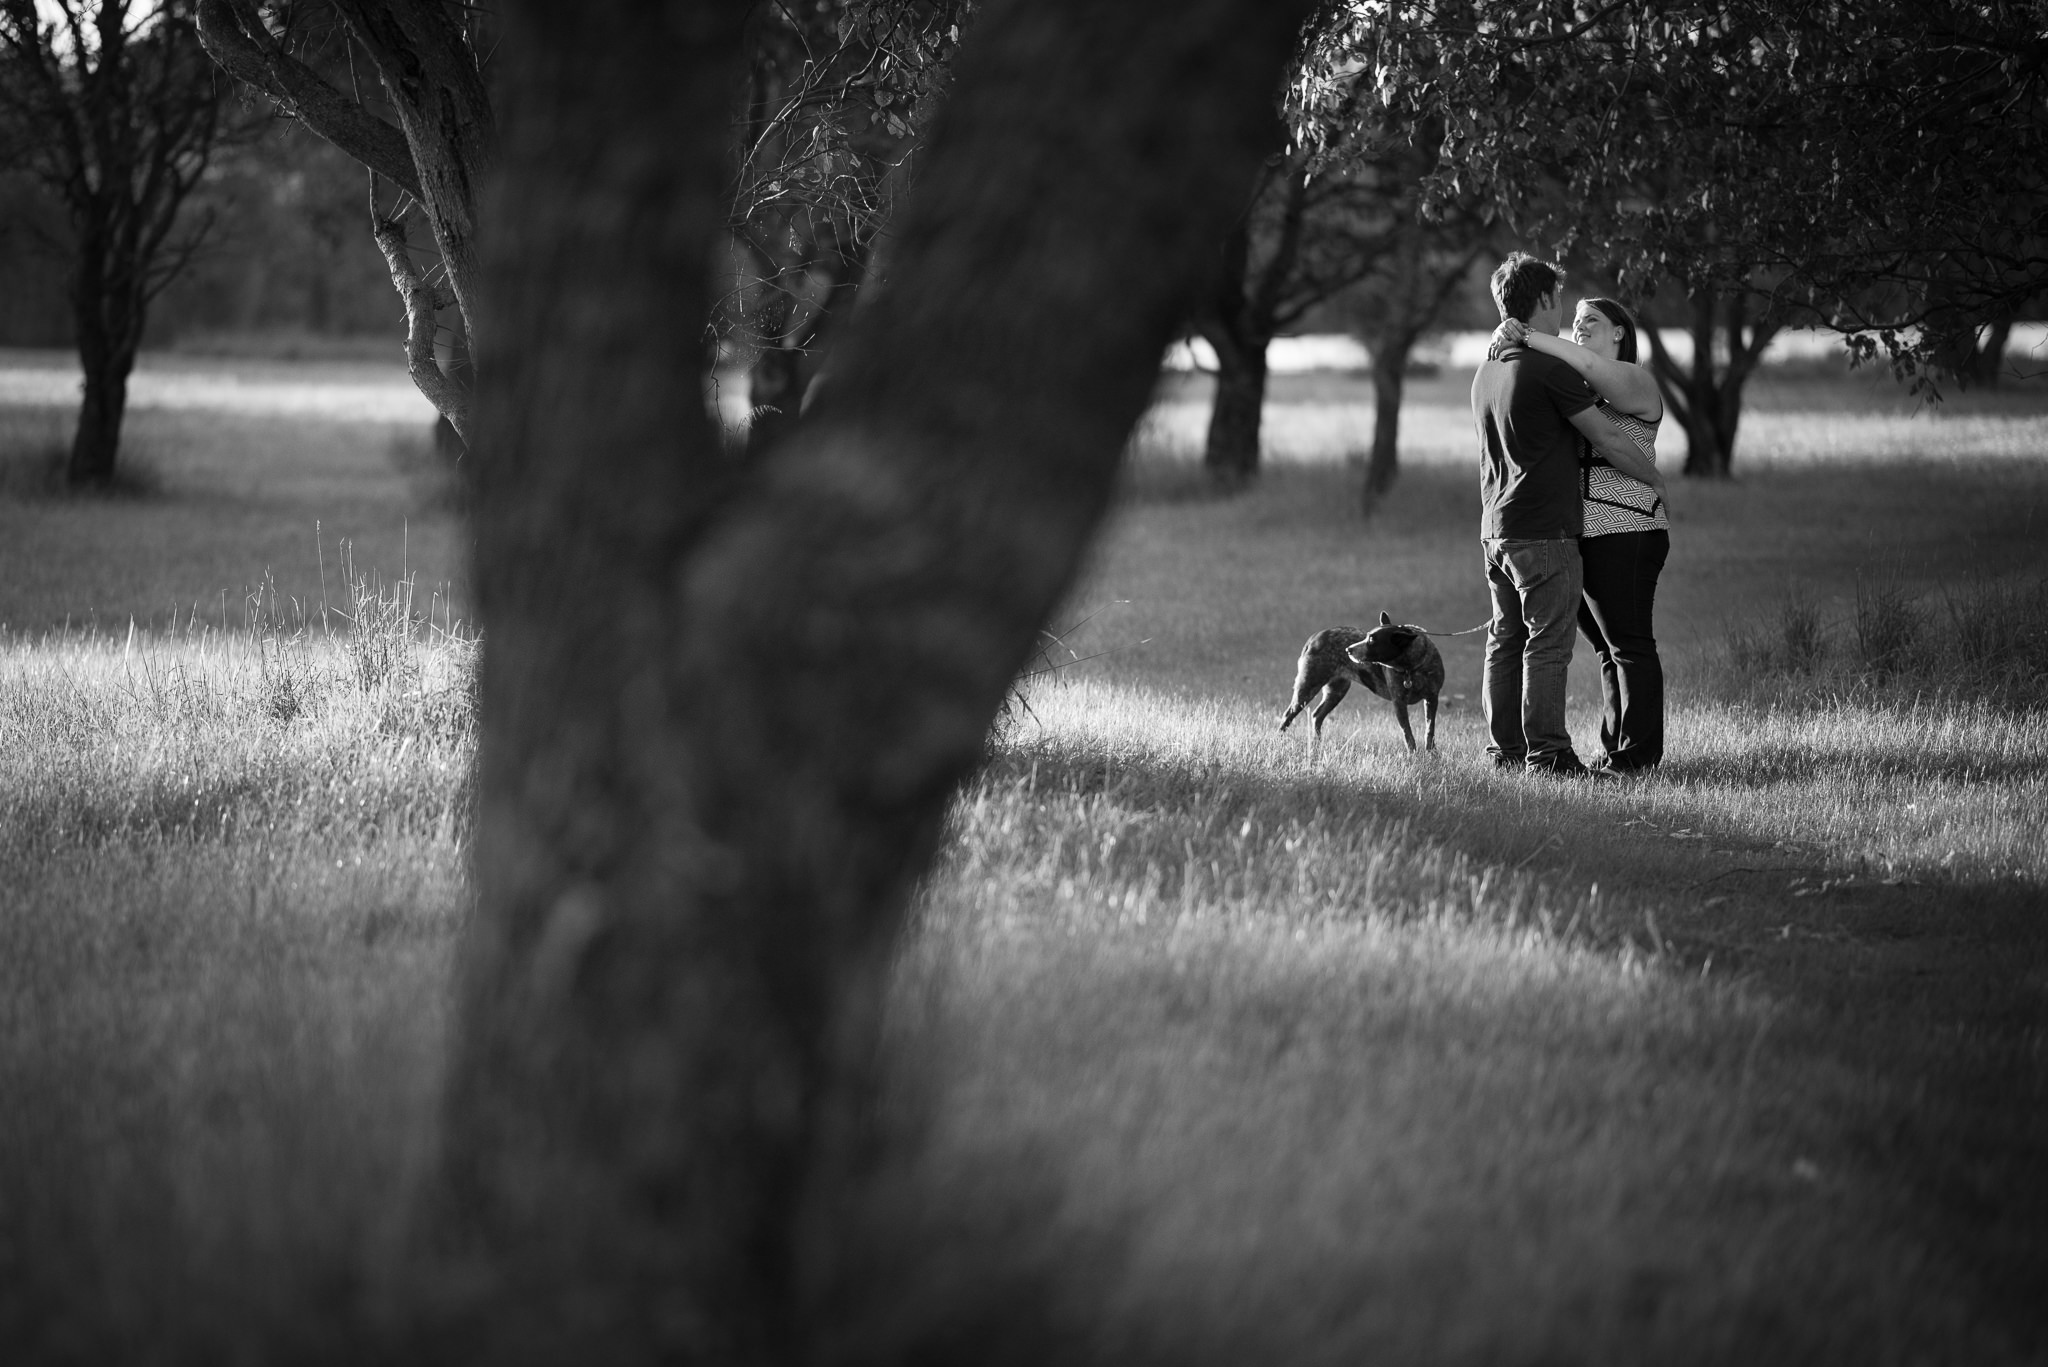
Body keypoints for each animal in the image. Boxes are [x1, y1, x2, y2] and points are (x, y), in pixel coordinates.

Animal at [1269, 614, 1449, 754]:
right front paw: (1413, 754)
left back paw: (1317, 743)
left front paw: (1431, 753)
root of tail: (1315, 636)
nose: (1348, 650)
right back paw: (1278, 740)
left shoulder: (1432, 698)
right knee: (1288, 715)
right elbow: (1408, 733)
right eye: (1367, 636)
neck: (1411, 667)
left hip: (1337, 691)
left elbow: (1430, 728)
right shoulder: (1399, 703)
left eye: (1372, 640)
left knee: (1317, 715)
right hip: (1308, 687)